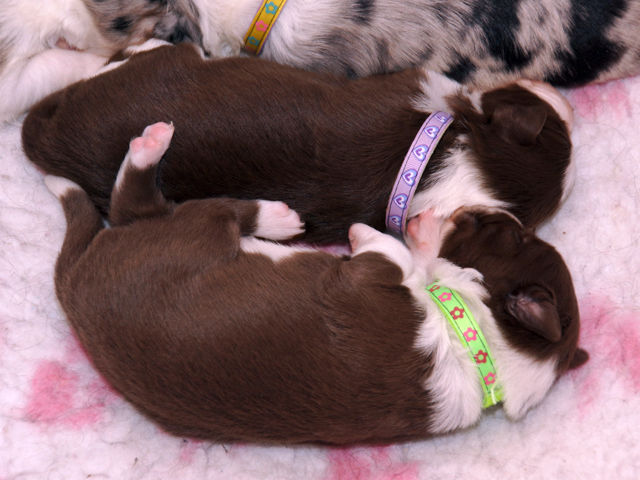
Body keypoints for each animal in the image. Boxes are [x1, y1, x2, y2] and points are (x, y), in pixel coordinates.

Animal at [44, 122, 588, 444]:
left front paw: (393, 233)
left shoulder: (368, 281)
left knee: (143, 201)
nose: (477, 208)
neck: (479, 343)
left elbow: (393, 254)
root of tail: (72, 285)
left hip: (188, 231)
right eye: (518, 234)